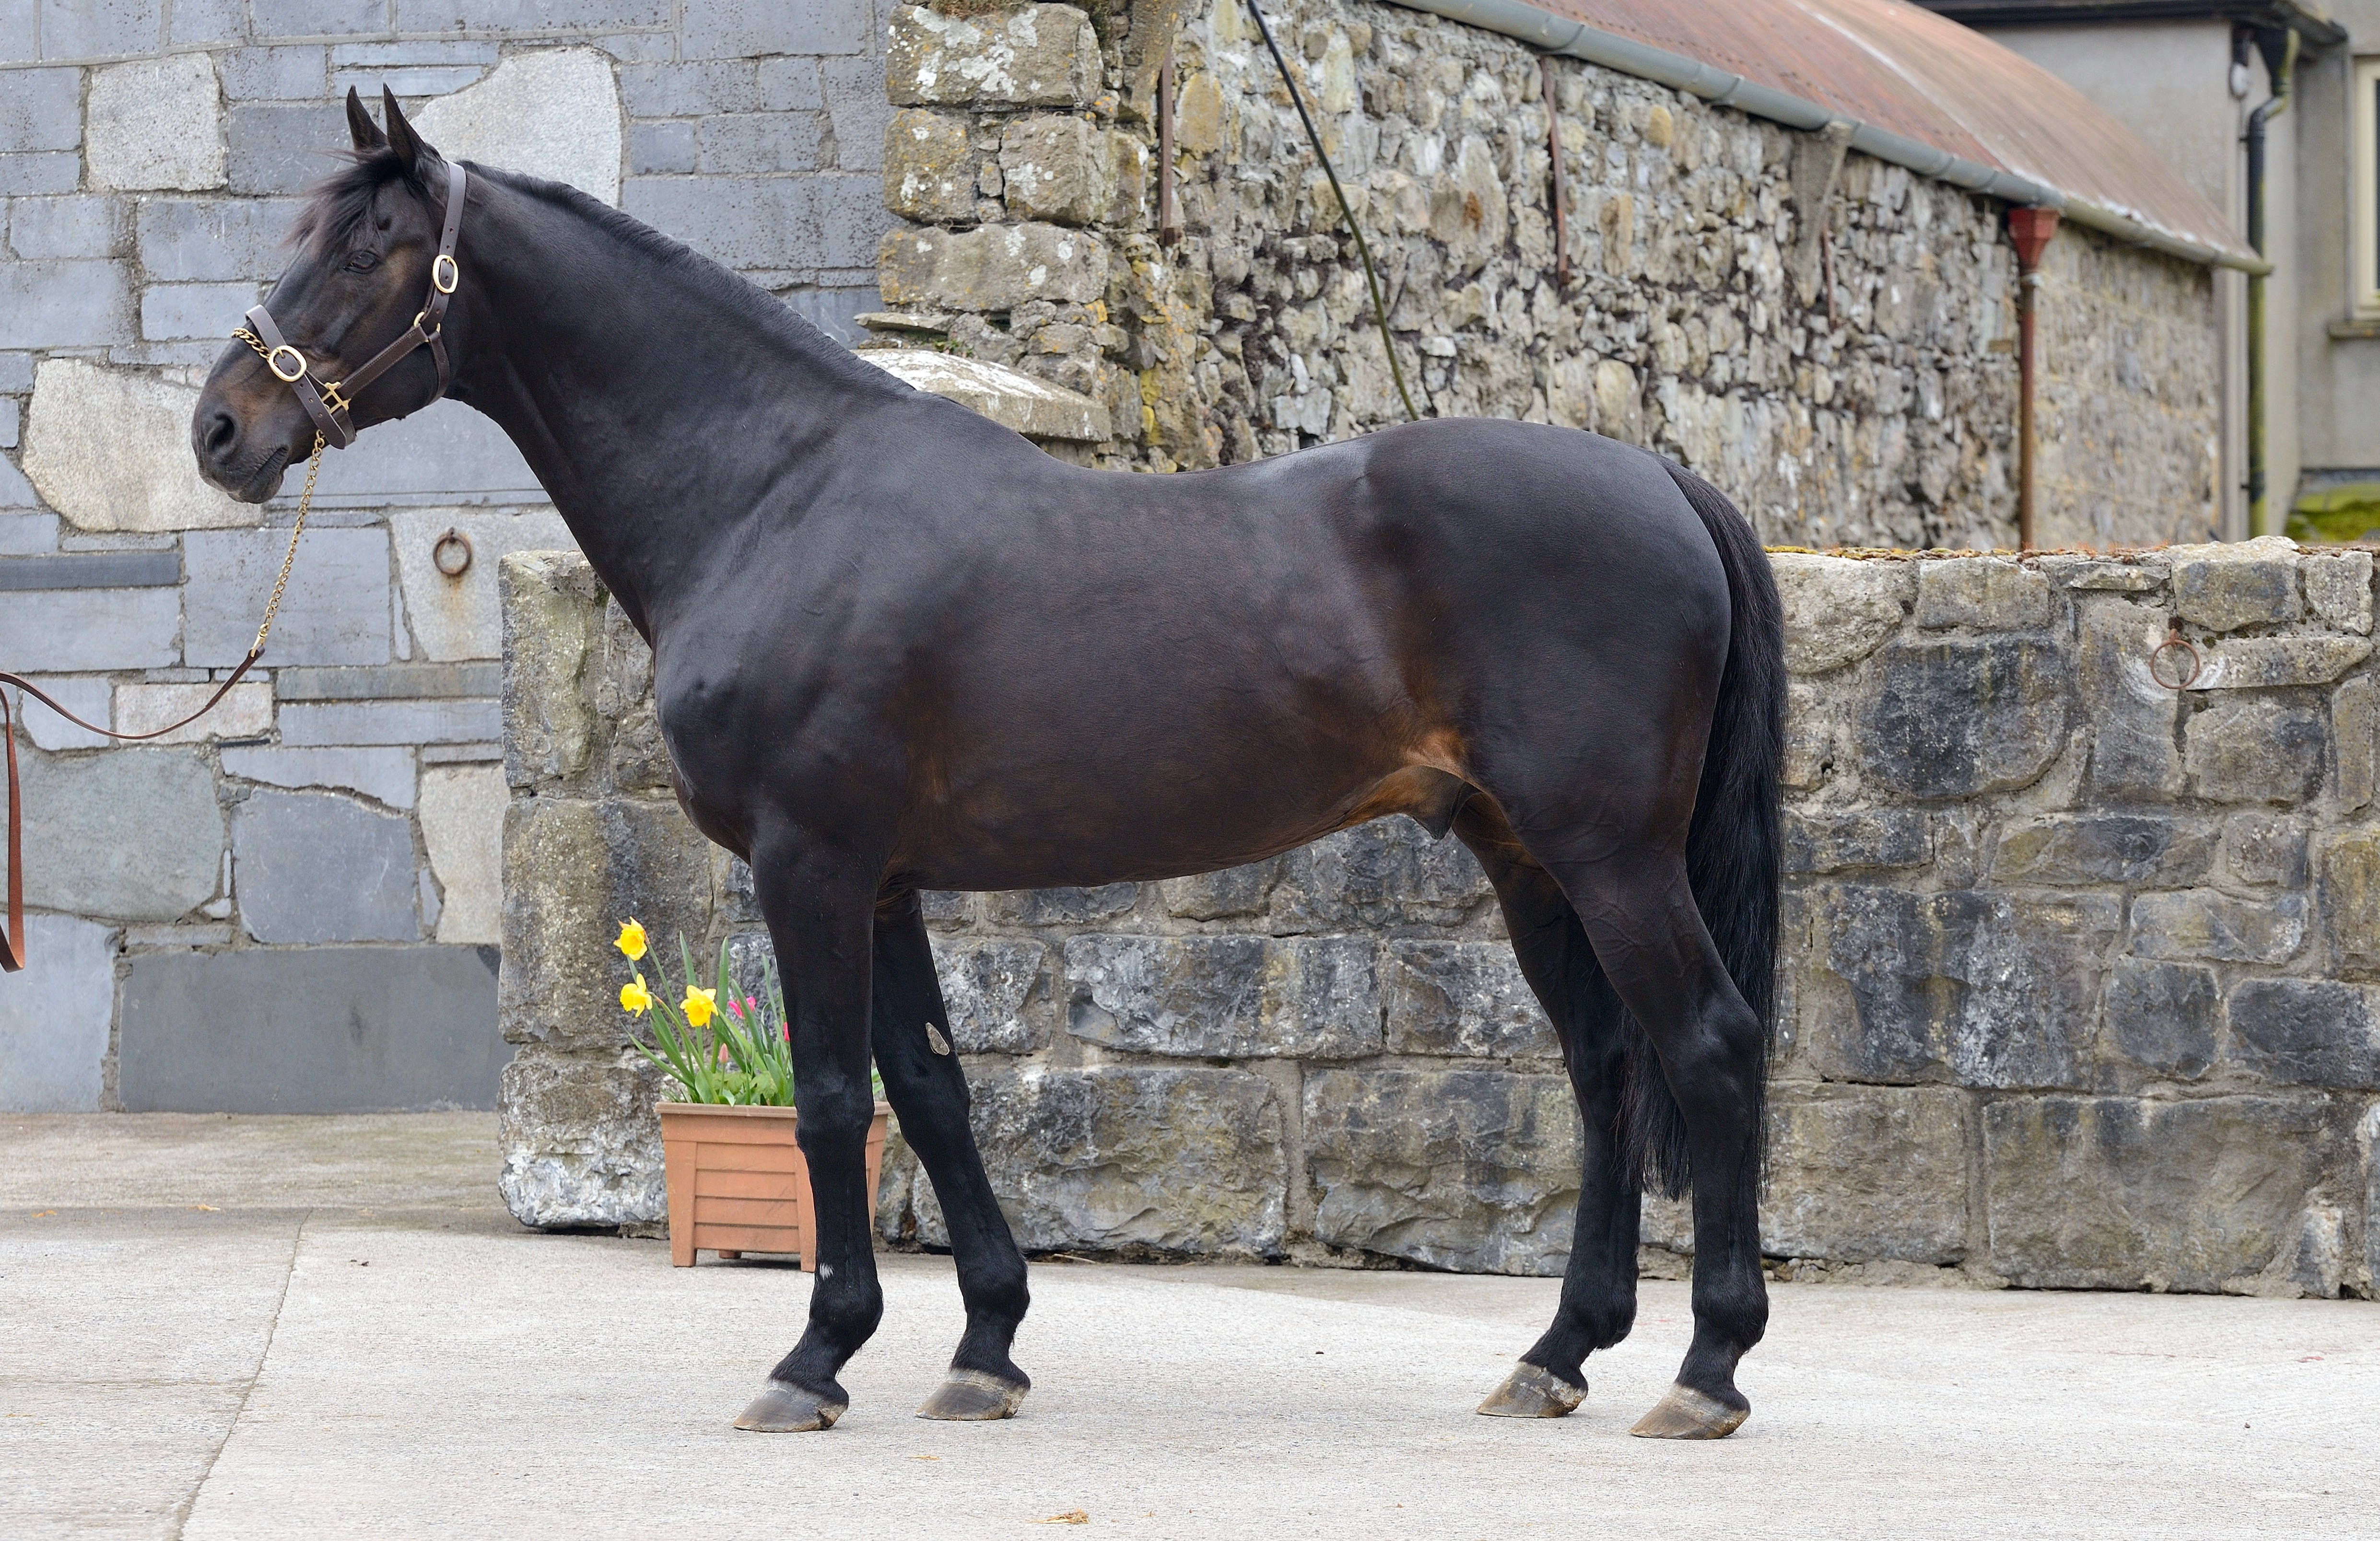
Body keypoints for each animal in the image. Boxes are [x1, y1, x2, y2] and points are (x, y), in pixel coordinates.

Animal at [192, 89, 1786, 1442]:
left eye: (366, 248)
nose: (221, 429)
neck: (774, 495)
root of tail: (1660, 477)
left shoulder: (812, 861)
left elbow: (832, 1100)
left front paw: (814, 1358)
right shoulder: (883, 876)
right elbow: (931, 1088)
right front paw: (983, 1348)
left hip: (1608, 858)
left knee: (1705, 1044)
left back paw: (1707, 1368)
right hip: (1527, 859)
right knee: (1603, 1069)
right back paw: (1555, 1355)